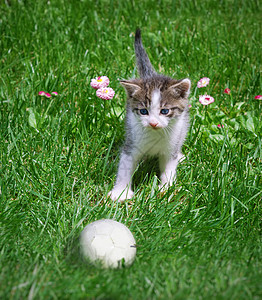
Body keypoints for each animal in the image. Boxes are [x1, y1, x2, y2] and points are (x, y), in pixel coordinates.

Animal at [108, 28, 190, 202]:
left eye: (164, 111)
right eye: (143, 111)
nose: (153, 123)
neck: (155, 134)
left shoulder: (170, 147)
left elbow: (169, 166)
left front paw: (166, 187)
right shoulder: (131, 143)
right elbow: (125, 166)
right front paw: (121, 192)